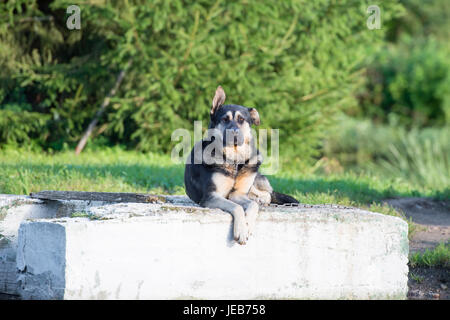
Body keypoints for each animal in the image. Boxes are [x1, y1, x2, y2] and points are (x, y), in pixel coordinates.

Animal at [184, 85, 298, 245]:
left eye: (241, 119)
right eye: (225, 119)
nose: (235, 133)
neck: (234, 161)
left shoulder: (237, 194)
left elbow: (252, 205)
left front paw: (247, 225)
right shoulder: (211, 197)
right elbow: (237, 207)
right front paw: (241, 230)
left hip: (253, 173)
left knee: (266, 194)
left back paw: (261, 199)